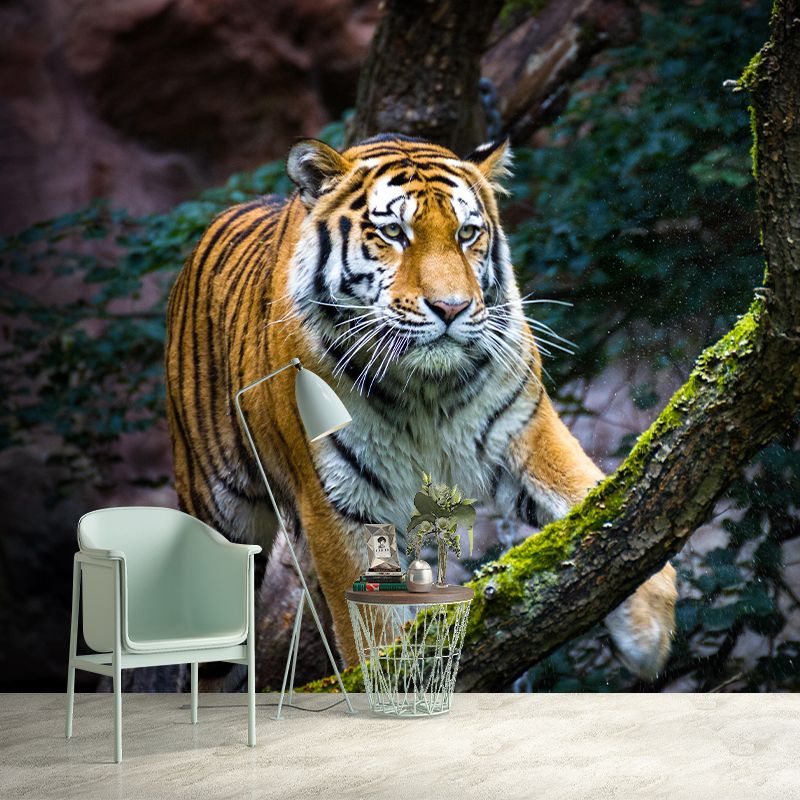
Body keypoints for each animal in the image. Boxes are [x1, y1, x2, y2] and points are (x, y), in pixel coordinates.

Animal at [165, 133, 677, 679]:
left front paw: (648, 628)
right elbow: (370, 630)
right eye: (393, 232)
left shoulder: (525, 428)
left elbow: (591, 493)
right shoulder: (340, 502)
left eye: (468, 233)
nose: (451, 307)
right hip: (218, 505)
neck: (427, 391)